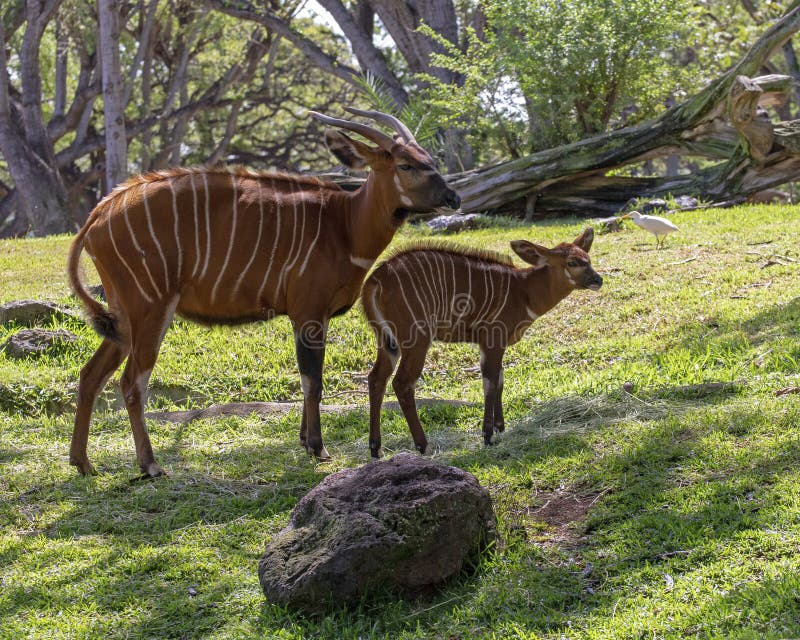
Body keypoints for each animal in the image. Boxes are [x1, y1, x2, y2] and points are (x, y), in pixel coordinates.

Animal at [67, 109, 461, 477]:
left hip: (123, 320)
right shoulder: (309, 313)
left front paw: (304, 441)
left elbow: (307, 379)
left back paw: (83, 463)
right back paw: (150, 465)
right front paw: (317, 447)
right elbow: (312, 381)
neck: (345, 224)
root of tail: (98, 215)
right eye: (406, 164)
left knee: (90, 375)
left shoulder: (308, 318)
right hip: (150, 310)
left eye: (429, 158)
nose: (453, 197)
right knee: (131, 382)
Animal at [362, 228, 602, 458]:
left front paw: (500, 428)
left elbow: (500, 379)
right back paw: (424, 446)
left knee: (376, 379)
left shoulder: (494, 343)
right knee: (402, 383)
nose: (598, 280)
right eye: (572, 262)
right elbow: (490, 382)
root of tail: (375, 279)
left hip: (387, 341)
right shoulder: (493, 338)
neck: (524, 291)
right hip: (417, 339)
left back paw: (375, 448)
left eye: (588, 258)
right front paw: (488, 435)